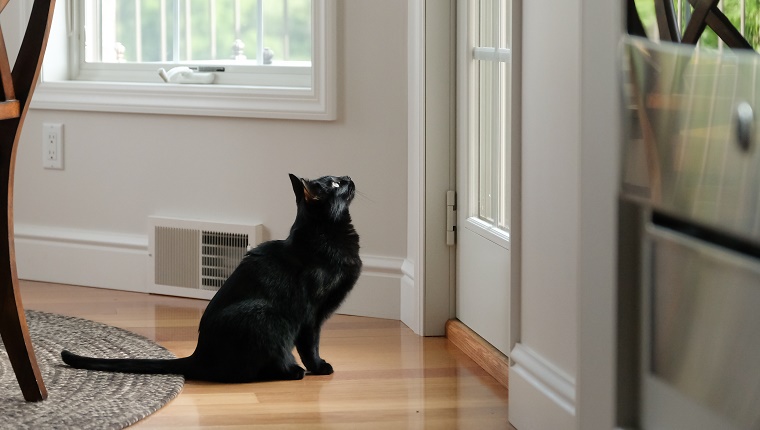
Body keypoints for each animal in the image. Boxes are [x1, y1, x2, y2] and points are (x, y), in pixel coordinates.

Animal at [59, 173, 362, 382]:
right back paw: (292, 371)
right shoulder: (311, 315)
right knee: (255, 369)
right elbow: (311, 346)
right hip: (267, 317)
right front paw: (320, 368)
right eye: (335, 184)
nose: (348, 176)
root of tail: (199, 355)